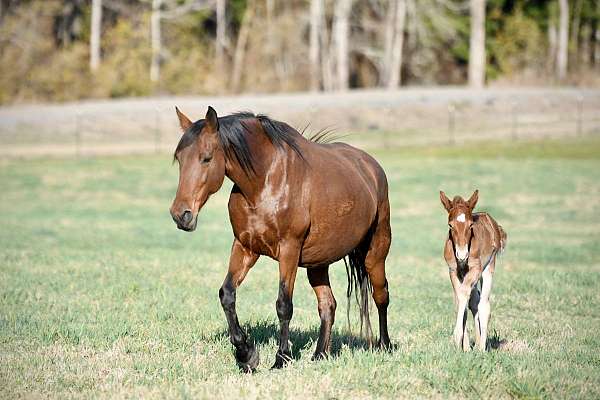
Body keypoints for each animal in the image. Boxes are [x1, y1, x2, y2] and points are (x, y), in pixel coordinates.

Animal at [170, 107, 394, 372]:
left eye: (206, 158)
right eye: (179, 159)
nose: (181, 215)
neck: (265, 182)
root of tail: (371, 166)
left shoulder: (289, 249)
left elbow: (284, 304)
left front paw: (281, 358)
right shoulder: (244, 247)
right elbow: (227, 294)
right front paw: (246, 354)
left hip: (375, 252)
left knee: (381, 295)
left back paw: (384, 345)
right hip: (318, 264)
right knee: (328, 305)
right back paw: (320, 354)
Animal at [440, 190, 506, 350]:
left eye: (471, 225)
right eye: (450, 225)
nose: (462, 254)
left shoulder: (476, 269)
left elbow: (464, 294)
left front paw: (457, 336)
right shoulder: (453, 271)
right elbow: (461, 302)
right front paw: (464, 347)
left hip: (488, 267)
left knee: (484, 305)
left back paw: (481, 348)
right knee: (474, 302)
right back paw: (475, 345)